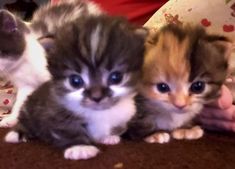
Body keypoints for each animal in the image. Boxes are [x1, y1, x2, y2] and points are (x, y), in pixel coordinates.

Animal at [4, 14, 146, 160]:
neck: (99, 112)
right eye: (75, 81)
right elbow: (67, 128)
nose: (97, 97)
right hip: (29, 109)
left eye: (116, 77)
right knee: (25, 121)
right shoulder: (54, 111)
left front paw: (109, 137)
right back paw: (15, 134)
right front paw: (80, 147)